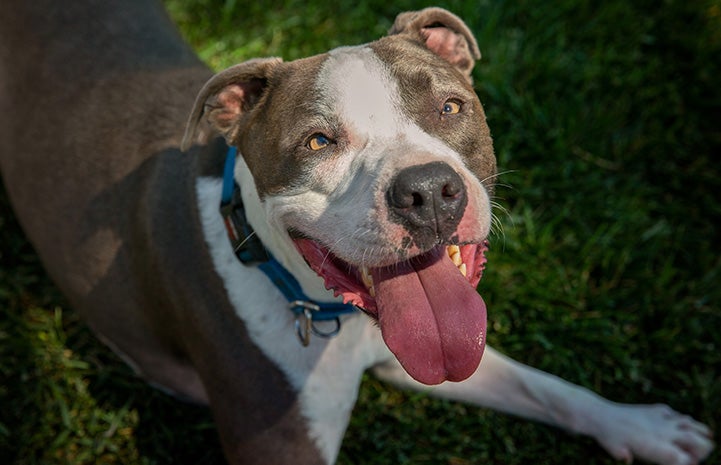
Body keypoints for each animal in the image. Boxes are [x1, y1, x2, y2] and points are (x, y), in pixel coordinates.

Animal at [0, 0, 708, 464]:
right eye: (318, 141)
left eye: (450, 106)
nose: (428, 192)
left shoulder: (423, 351)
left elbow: (547, 387)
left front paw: (641, 427)